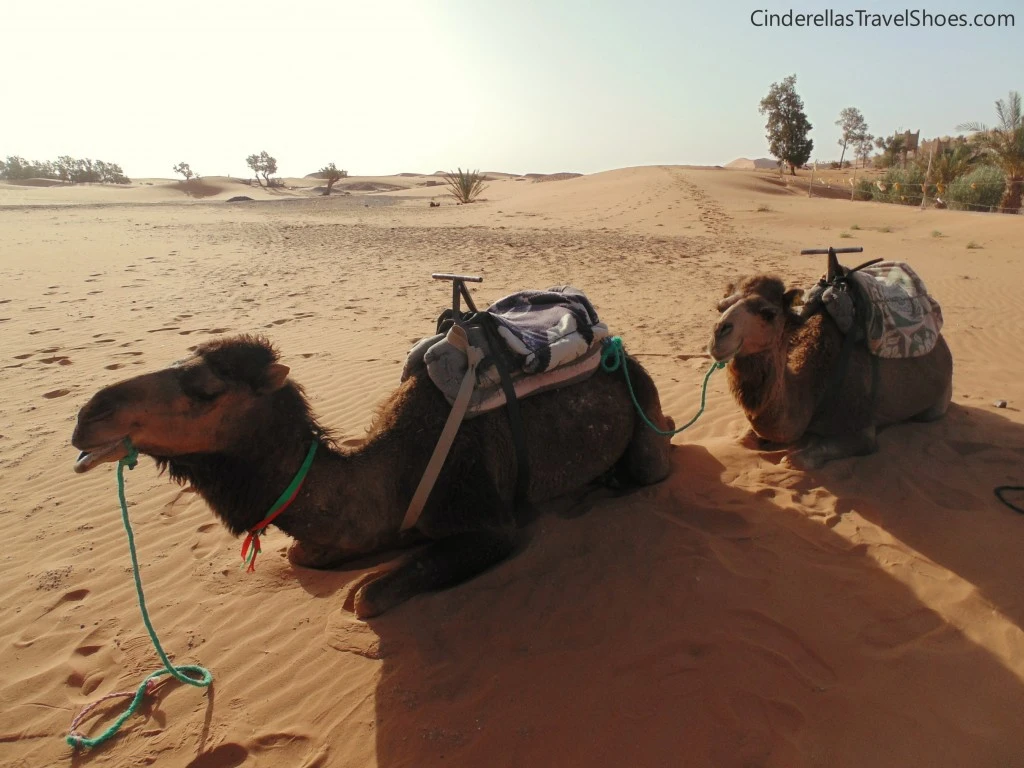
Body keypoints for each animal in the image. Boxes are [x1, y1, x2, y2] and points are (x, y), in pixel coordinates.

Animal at [72, 334, 673, 617]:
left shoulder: (490, 523)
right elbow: (304, 554)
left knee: (652, 458)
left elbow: (364, 598)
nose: (88, 416)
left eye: (205, 390)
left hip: (642, 412)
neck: (391, 473)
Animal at [707, 265, 953, 470]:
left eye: (768, 313)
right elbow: (745, 439)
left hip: (938, 402)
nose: (719, 334)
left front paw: (794, 456)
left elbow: (800, 457)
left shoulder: (861, 430)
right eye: (720, 307)